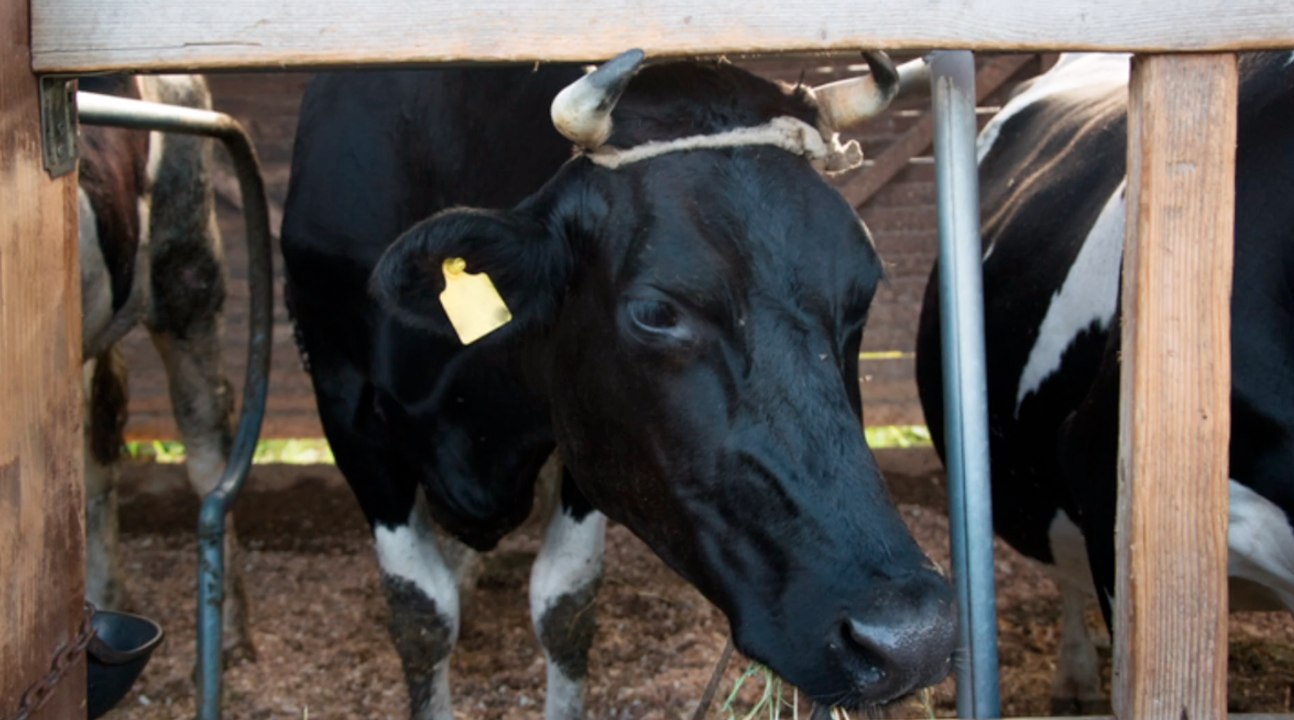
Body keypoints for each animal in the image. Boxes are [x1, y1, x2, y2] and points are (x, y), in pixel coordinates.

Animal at [281, 51, 957, 719]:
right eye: (656, 311)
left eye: (863, 290)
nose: (914, 637)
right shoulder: (344, 403)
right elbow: (421, 615)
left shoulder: (588, 435)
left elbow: (565, 605)